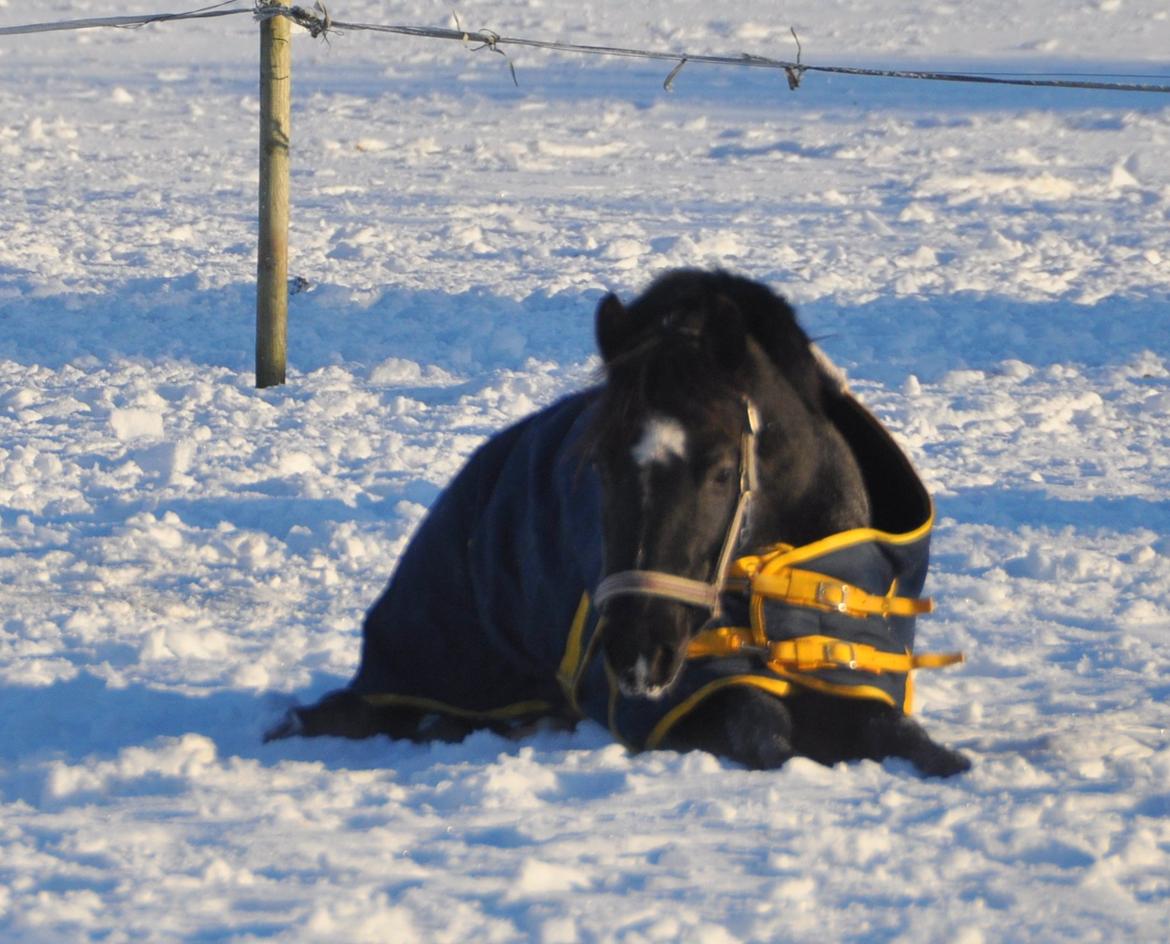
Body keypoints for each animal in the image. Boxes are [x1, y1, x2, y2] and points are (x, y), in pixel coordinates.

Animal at [269, 269, 973, 776]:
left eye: (723, 471)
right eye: (599, 465)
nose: (637, 654)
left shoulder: (857, 675)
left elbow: (917, 744)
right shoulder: (690, 700)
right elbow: (764, 733)